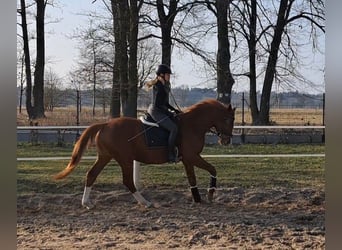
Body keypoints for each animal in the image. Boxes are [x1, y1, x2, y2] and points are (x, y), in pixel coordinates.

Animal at [54, 98, 235, 208]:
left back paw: (87, 203)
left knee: (91, 174)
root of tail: (105, 124)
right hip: (125, 159)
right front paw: (210, 194)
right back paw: (145, 202)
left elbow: (192, 179)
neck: (192, 125)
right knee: (127, 181)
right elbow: (212, 169)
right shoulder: (192, 157)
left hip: (106, 157)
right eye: (228, 119)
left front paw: (198, 199)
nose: (226, 140)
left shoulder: (188, 160)